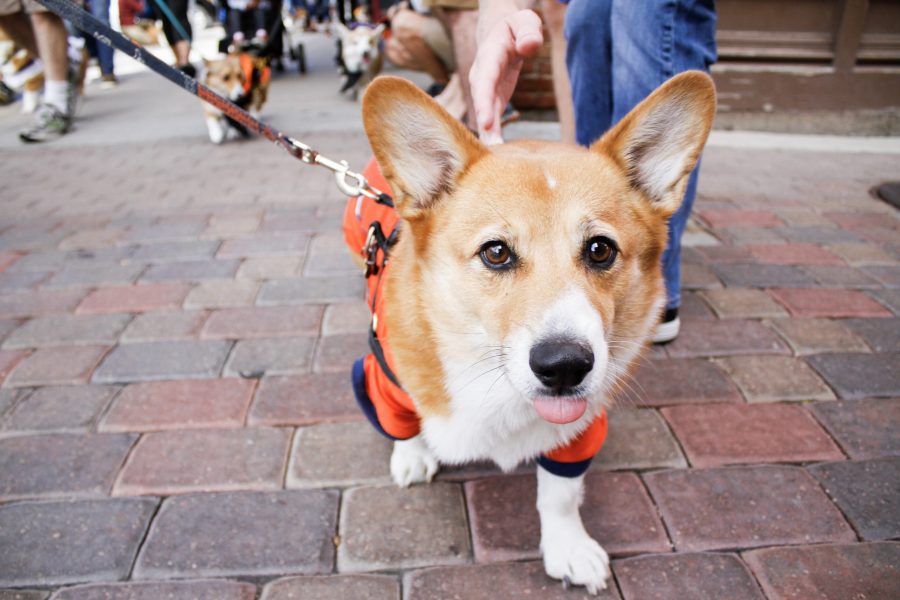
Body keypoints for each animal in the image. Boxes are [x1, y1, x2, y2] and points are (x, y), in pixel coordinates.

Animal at [344, 72, 716, 592]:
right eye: (496, 252)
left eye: (600, 249)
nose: (564, 367)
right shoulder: (380, 379)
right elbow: (400, 424)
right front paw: (411, 457)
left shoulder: (579, 428)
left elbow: (559, 494)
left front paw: (569, 549)